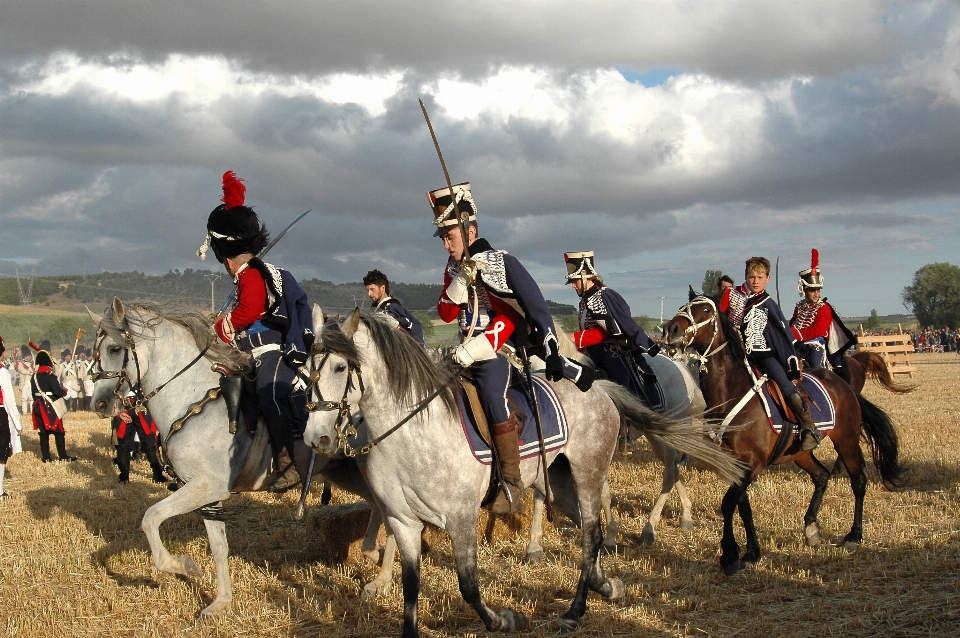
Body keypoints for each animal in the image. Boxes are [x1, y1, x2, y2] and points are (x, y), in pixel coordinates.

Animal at [302, 310, 744, 638]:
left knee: (595, 531)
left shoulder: (460, 519)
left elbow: (468, 585)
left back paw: (576, 609)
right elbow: (411, 587)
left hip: (588, 474)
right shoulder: (402, 521)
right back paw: (606, 585)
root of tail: (599, 386)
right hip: (558, 484)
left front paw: (505, 619)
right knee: (590, 527)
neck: (412, 431)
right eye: (305, 367)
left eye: (340, 367)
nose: (315, 437)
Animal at [664, 298, 904, 576]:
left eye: (705, 310)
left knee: (858, 481)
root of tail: (844, 384)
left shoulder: (753, 465)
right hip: (800, 452)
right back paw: (811, 528)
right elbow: (742, 506)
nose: (671, 329)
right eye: (684, 306)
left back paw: (853, 536)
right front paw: (752, 551)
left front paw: (730, 555)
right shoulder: (736, 465)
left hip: (846, 440)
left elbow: (728, 503)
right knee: (821, 476)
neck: (733, 392)